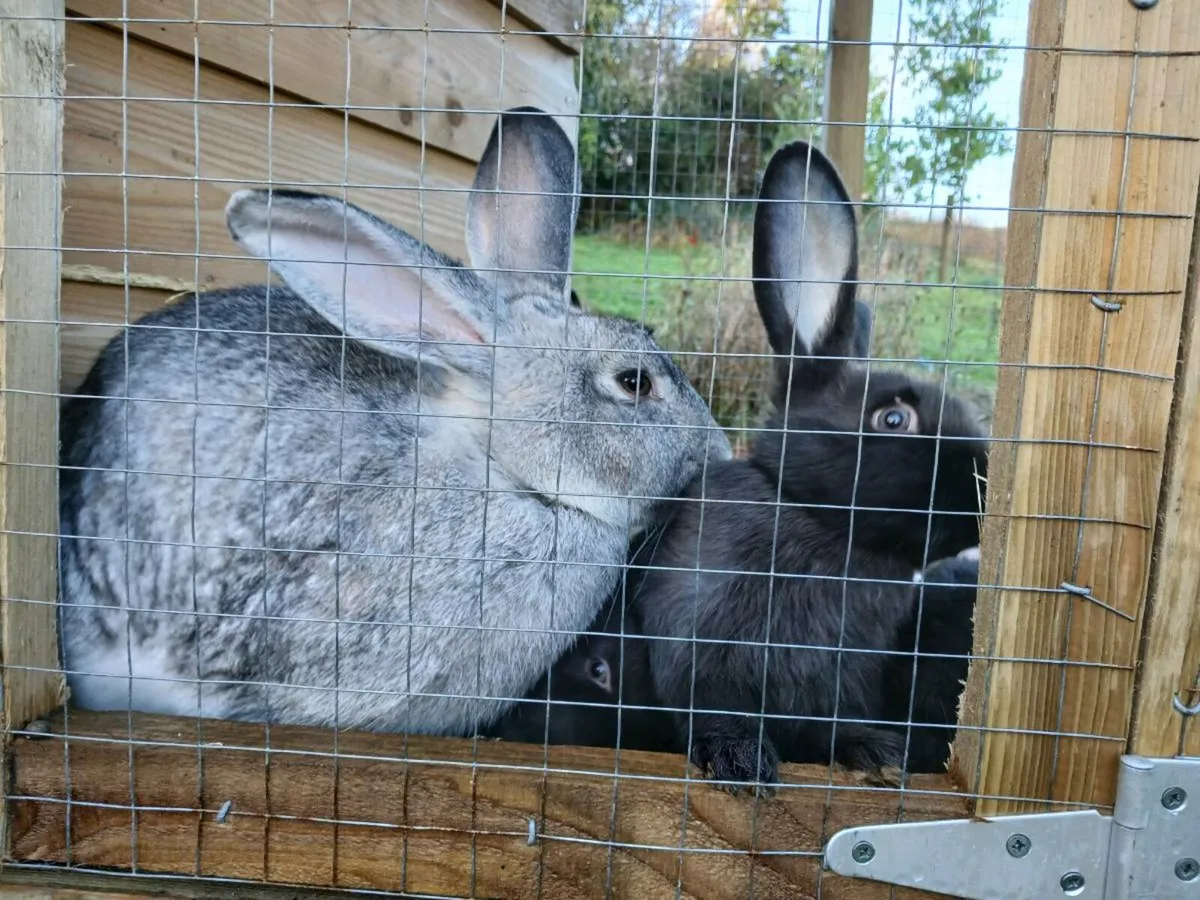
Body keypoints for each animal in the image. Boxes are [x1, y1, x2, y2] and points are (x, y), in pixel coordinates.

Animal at [631, 139, 989, 789]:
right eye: (893, 418)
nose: (985, 486)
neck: (828, 530)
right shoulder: (700, 647)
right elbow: (716, 712)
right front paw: (740, 761)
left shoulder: (844, 682)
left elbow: (835, 728)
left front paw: (878, 755)